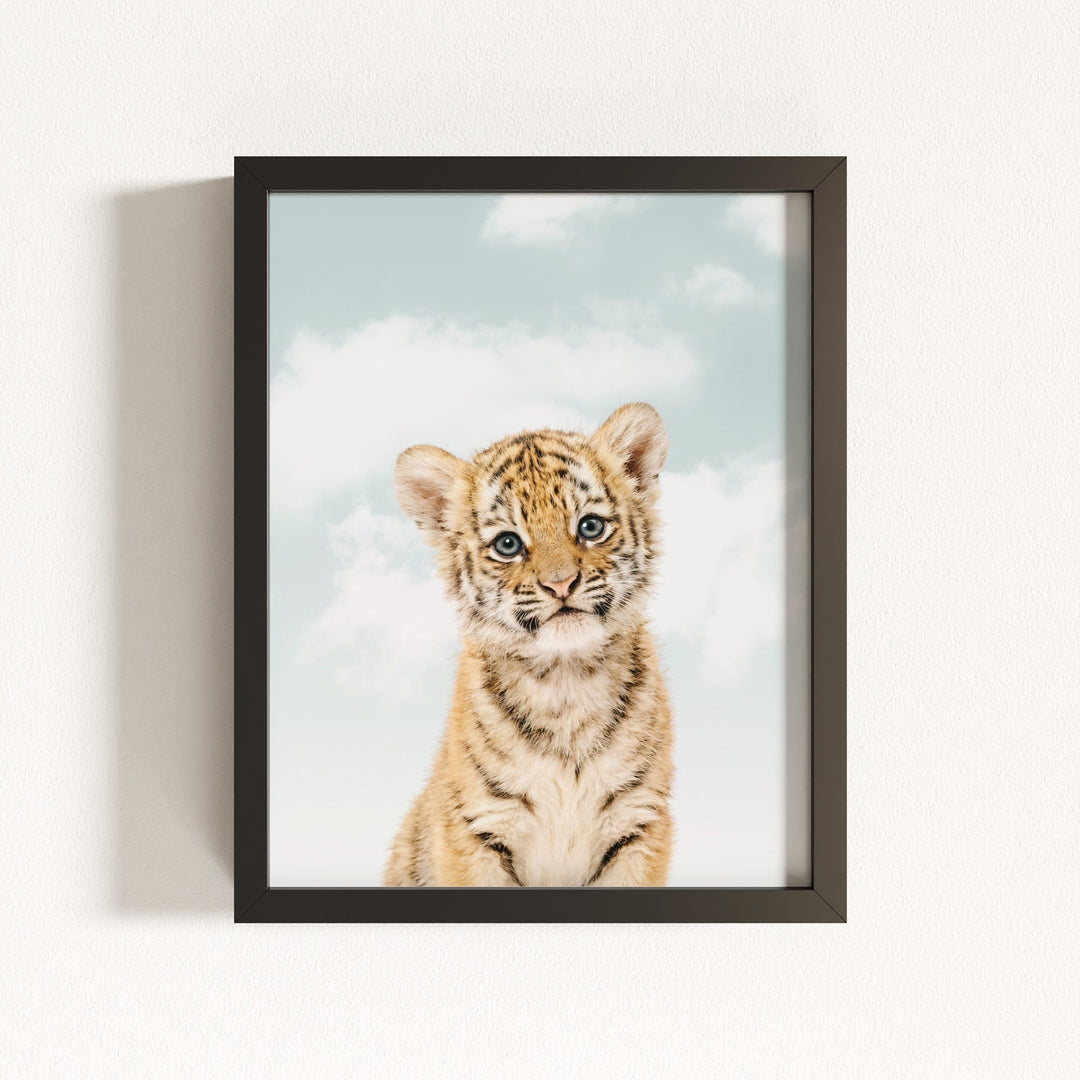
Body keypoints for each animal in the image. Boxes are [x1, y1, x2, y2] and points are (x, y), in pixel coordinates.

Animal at [383, 402, 674, 887]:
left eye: (590, 527)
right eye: (508, 544)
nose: (561, 584)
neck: (566, 680)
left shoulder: (639, 823)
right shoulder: (476, 830)